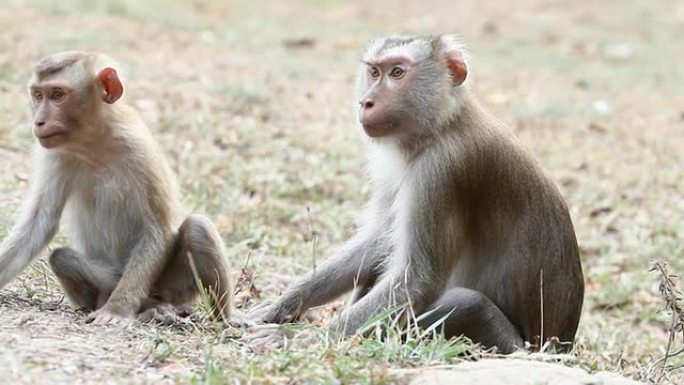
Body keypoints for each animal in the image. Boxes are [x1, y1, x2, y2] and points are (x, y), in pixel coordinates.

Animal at [0, 51, 232, 324]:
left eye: (57, 95)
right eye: (38, 95)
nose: (39, 121)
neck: (94, 142)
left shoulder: (138, 149)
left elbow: (156, 230)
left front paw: (117, 309)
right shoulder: (55, 156)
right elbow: (39, 223)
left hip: (175, 287)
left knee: (198, 227)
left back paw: (218, 318)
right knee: (62, 257)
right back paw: (151, 307)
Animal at [248, 34, 584, 352]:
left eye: (397, 73)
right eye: (374, 72)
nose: (366, 102)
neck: (442, 125)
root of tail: (560, 346)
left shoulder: (442, 170)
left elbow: (417, 279)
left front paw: (299, 338)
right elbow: (381, 240)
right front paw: (281, 306)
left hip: (511, 345)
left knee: (465, 303)